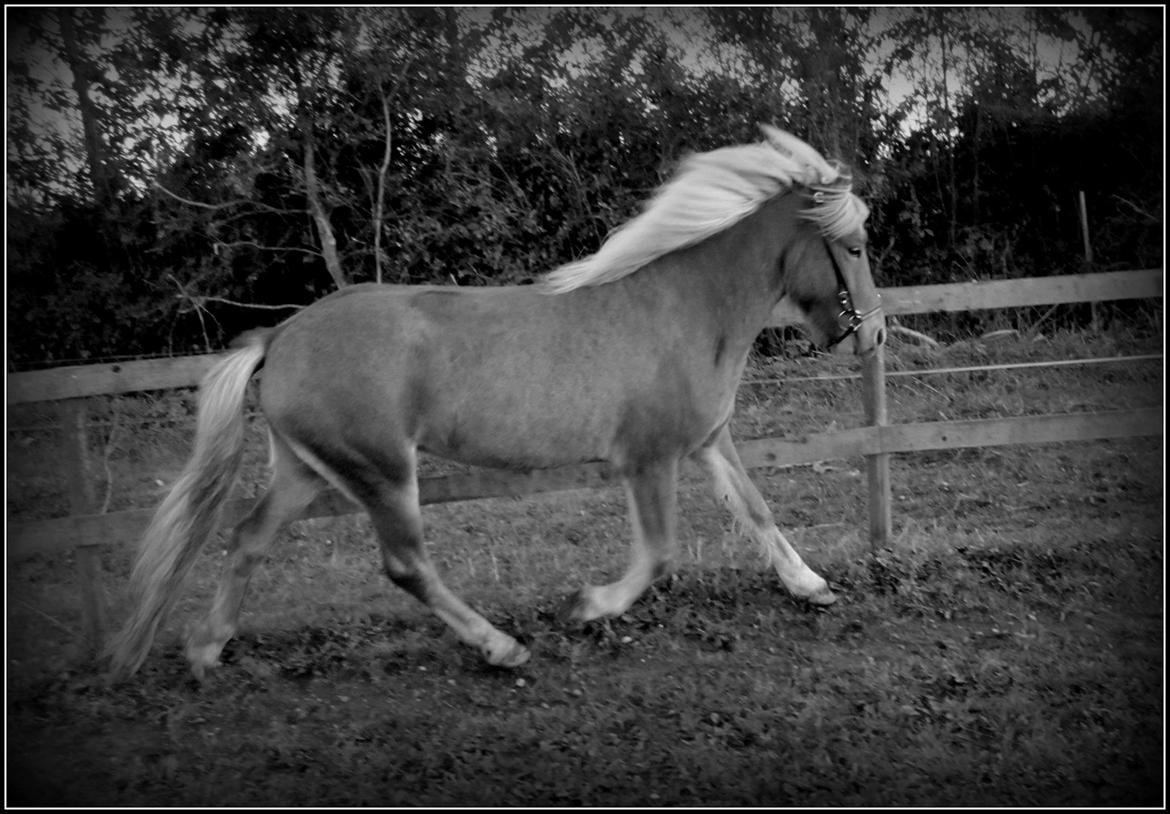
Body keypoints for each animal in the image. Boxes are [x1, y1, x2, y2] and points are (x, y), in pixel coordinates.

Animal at [105, 122, 879, 678]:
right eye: (856, 246)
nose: (872, 334)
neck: (685, 308)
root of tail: (280, 337)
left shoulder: (707, 441)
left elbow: (757, 509)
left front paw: (811, 586)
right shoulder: (648, 458)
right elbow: (659, 555)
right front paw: (586, 607)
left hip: (305, 470)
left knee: (247, 539)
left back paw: (207, 650)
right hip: (383, 472)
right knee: (406, 566)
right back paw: (502, 648)